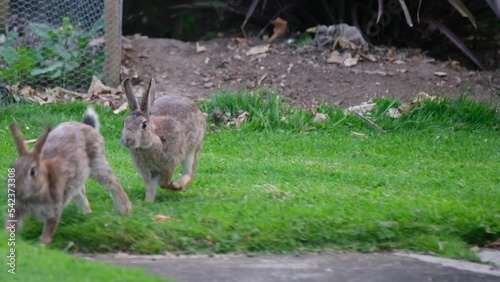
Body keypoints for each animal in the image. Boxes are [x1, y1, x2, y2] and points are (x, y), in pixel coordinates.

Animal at [5, 107, 131, 243]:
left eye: (32, 172)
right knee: (80, 190)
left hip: (97, 164)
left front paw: (42, 243)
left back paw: (125, 210)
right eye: (12, 167)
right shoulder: (17, 210)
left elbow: (49, 228)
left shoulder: (54, 210)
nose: (15, 190)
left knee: (113, 183)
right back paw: (86, 213)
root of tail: (88, 126)